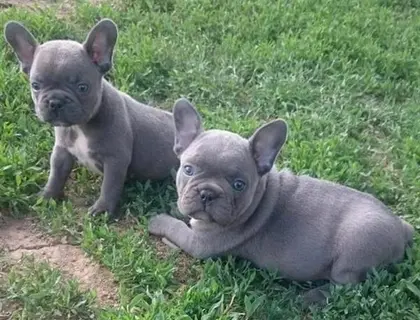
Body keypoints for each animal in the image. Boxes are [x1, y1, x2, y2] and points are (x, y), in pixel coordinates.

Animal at [4, 18, 179, 216]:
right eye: (35, 85)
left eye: (82, 87)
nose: (55, 101)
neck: (79, 126)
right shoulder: (61, 153)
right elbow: (55, 175)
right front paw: (46, 196)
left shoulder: (115, 160)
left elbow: (109, 186)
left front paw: (102, 210)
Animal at [149, 97, 416, 304]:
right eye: (188, 170)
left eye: (239, 185)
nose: (207, 193)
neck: (260, 195)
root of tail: (402, 228)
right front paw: (177, 208)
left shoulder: (200, 243)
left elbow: (176, 228)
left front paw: (158, 220)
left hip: (353, 254)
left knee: (347, 285)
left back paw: (312, 297)